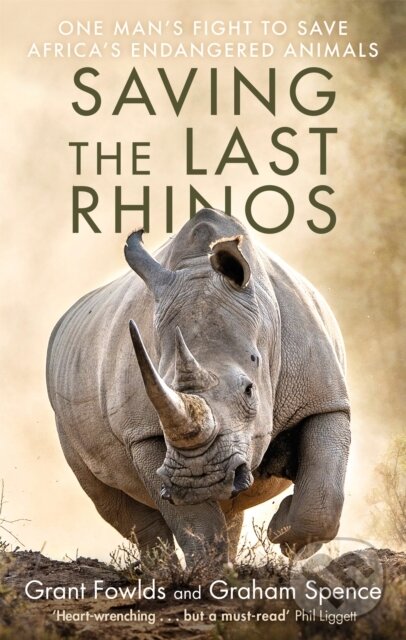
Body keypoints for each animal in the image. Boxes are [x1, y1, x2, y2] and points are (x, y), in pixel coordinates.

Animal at [46, 208, 350, 563]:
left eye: (249, 390)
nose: (199, 480)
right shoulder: (143, 434)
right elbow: (196, 522)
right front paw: (210, 573)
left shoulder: (324, 398)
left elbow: (323, 494)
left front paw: (286, 537)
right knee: (112, 501)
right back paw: (165, 572)